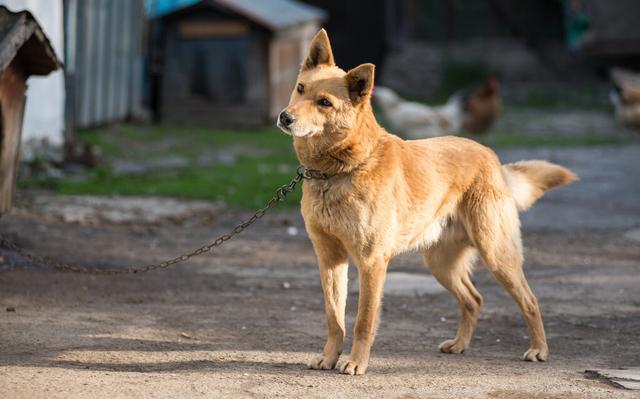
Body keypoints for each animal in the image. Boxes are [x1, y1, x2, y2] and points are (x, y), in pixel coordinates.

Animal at [278, 29, 576, 376]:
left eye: (324, 102)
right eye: (300, 88)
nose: (284, 117)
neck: (340, 168)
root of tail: (490, 156)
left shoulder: (371, 263)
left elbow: (363, 320)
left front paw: (355, 362)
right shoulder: (329, 259)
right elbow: (333, 316)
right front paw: (329, 356)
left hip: (497, 254)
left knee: (529, 300)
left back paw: (539, 349)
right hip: (440, 263)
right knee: (473, 299)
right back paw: (460, 344)